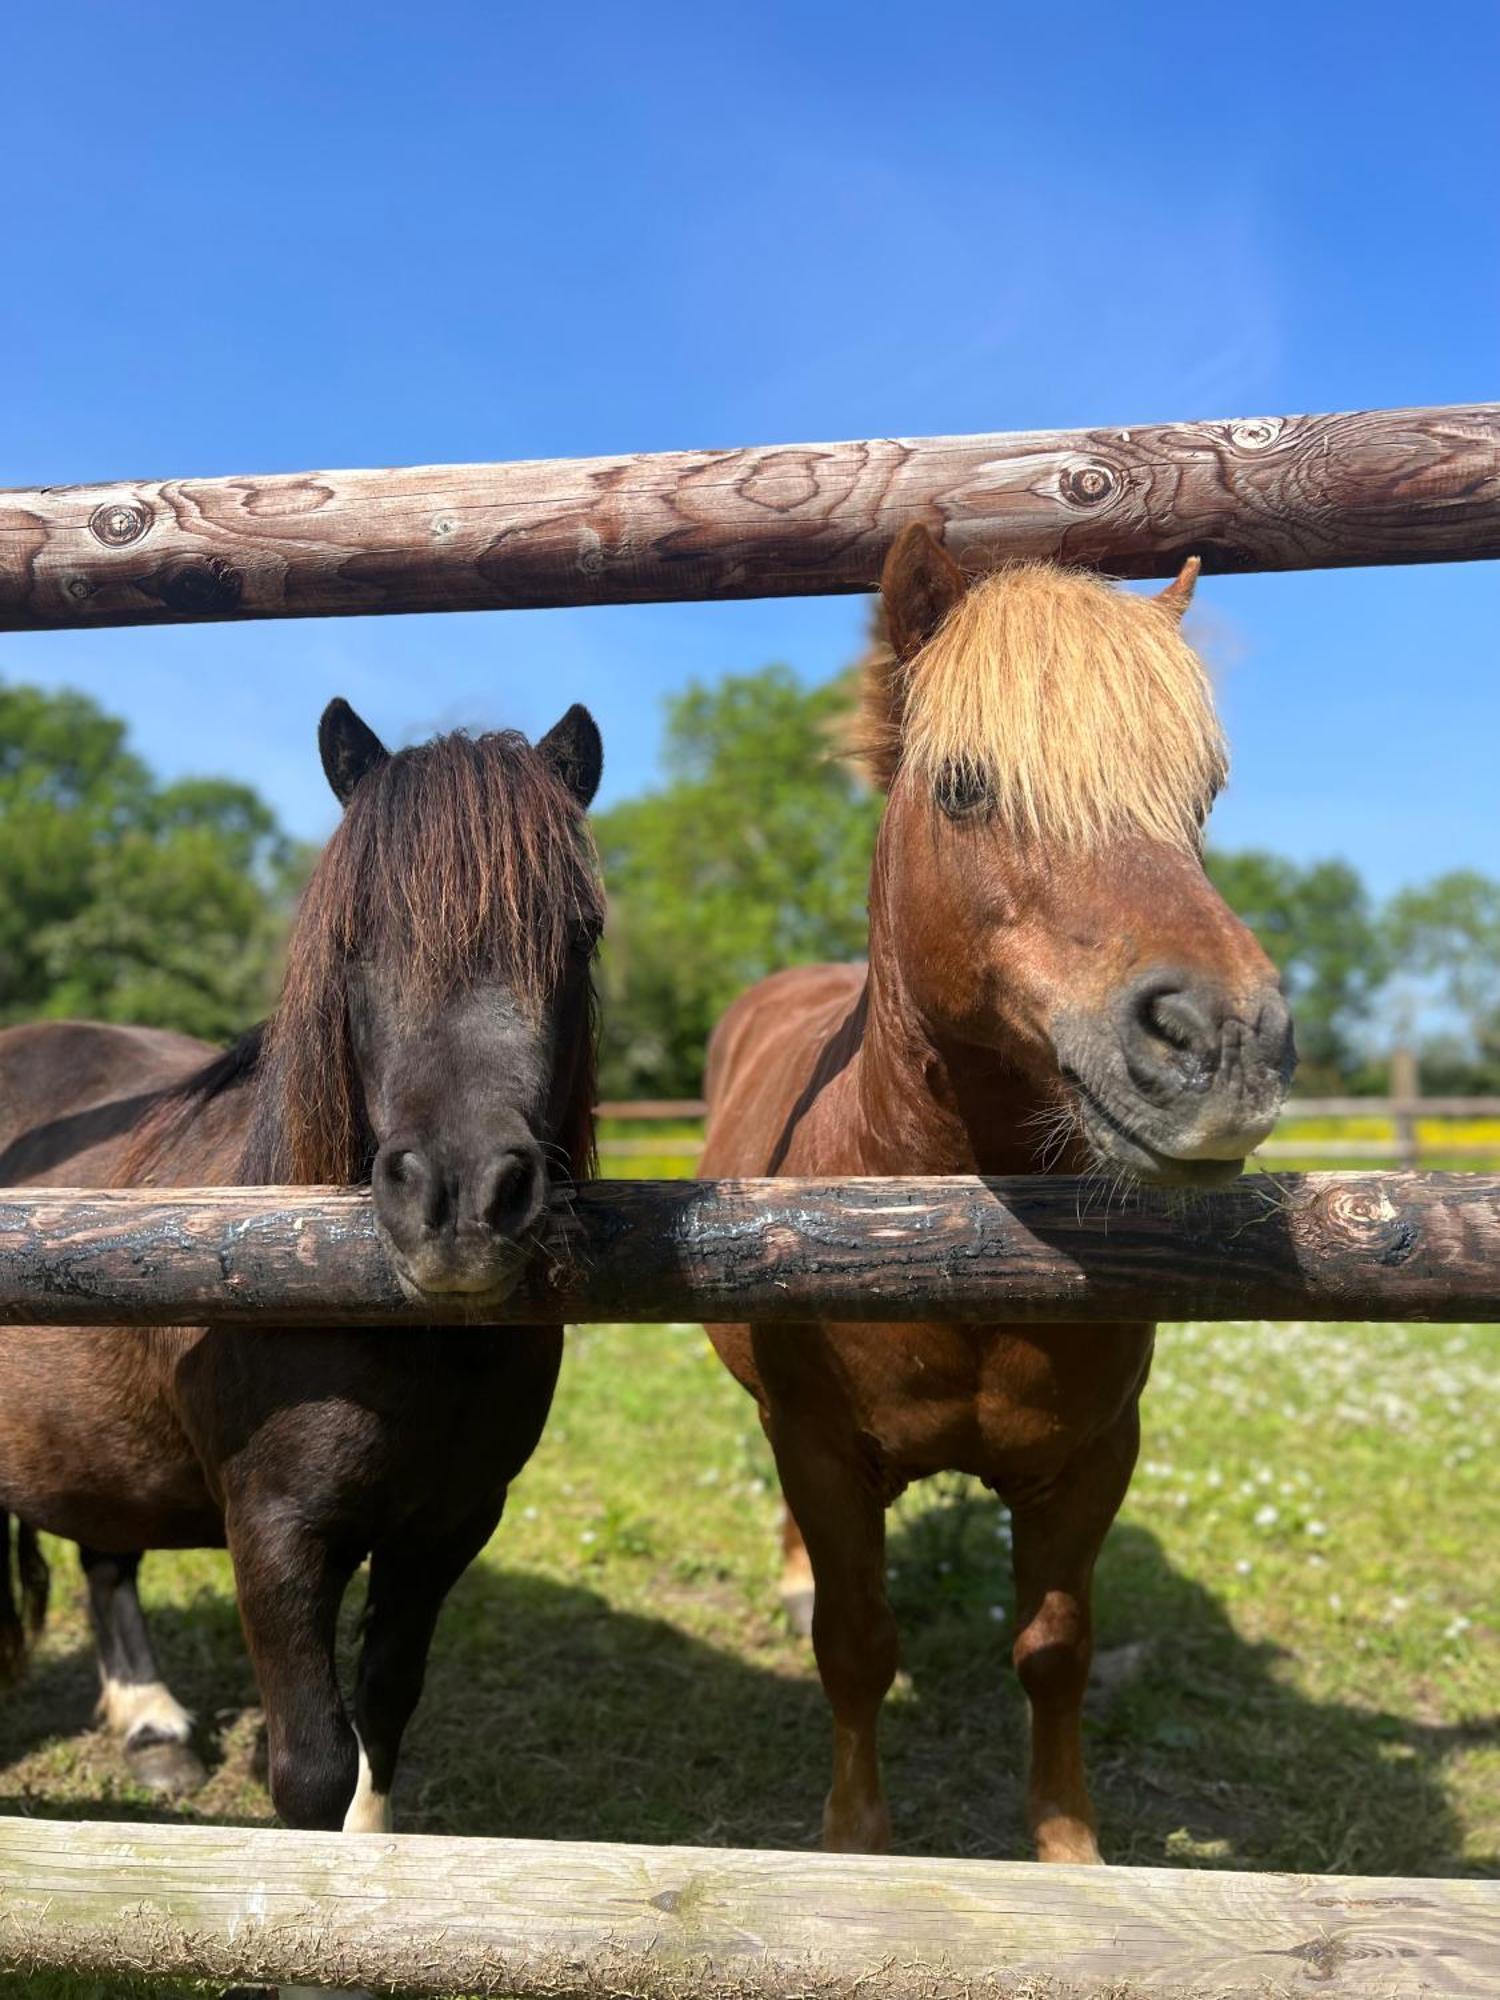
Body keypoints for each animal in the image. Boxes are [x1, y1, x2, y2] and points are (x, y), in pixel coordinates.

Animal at [0, 700, 604, 1832]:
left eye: (578, 932)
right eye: (351, 939)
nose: (462, 1198)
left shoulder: (448, 1526)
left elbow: (385, 1713)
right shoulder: (277, 1530)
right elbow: (315, 1768)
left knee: (107, 1550)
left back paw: (150, 1725)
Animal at [700, 528, 1296, 1856]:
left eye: (1204, 798)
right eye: (967, 786)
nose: (1226, 1042)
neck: (949, 1234)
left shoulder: (1091, 1459)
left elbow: (1054, 1651)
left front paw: (1070, 1851)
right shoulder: (821, 1450)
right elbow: (855, 1647)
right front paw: (855, 1839)